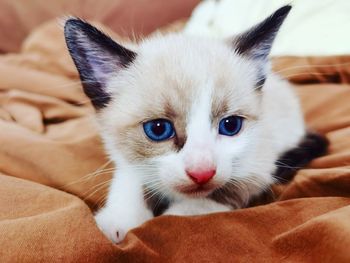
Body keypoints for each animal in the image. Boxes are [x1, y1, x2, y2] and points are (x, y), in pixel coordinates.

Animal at [63, 5, 328, 244]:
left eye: (230, 125)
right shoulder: (125, 160)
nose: (202, 173)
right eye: (158, 129)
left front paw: (163, 220)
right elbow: (130, 183)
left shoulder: (258, 168)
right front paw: (116, 224)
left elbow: (194, 209)